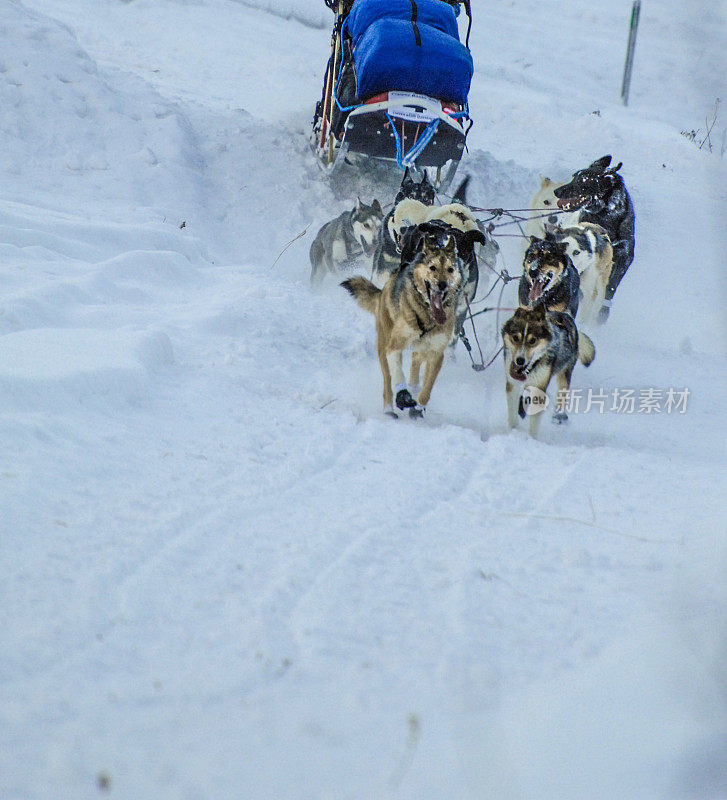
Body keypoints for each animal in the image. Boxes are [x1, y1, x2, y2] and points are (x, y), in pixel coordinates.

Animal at [342, 219, 484, 418]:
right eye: (435, 243)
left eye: (460, 252)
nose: (443, 283)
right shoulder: (395, 344)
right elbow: (398, 373)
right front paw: (404, 396)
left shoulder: (440, 344)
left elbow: (427, 384)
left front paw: (418, 403)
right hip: (384, 343)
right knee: (388, 380)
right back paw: (389, 407)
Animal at [500, 304, 596, 438]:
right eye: (515, 338)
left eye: (532, 340)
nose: (520, 360)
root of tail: (565, 315)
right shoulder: (512, 384)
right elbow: (513, 412)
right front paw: (513, 431)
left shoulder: (540, 386)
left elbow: (534, 423)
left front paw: (531, 439)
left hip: (564, 373)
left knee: (562, 393)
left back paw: (559, 415)